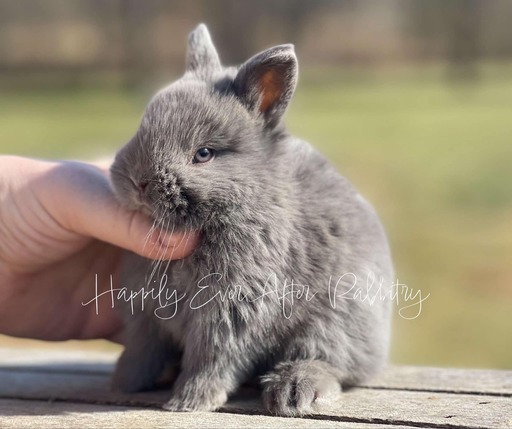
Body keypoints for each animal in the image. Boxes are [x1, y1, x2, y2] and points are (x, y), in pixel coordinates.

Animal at [110, 23, 394, 414]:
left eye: (204, 154)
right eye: (141, 128)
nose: (139, 183)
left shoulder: (232, 309)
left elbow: (213, 358)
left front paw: (189, 403)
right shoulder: (147, 316)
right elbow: (142, 351)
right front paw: (124, 383)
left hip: (336, 321)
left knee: (328, 363)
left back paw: (293, 392)